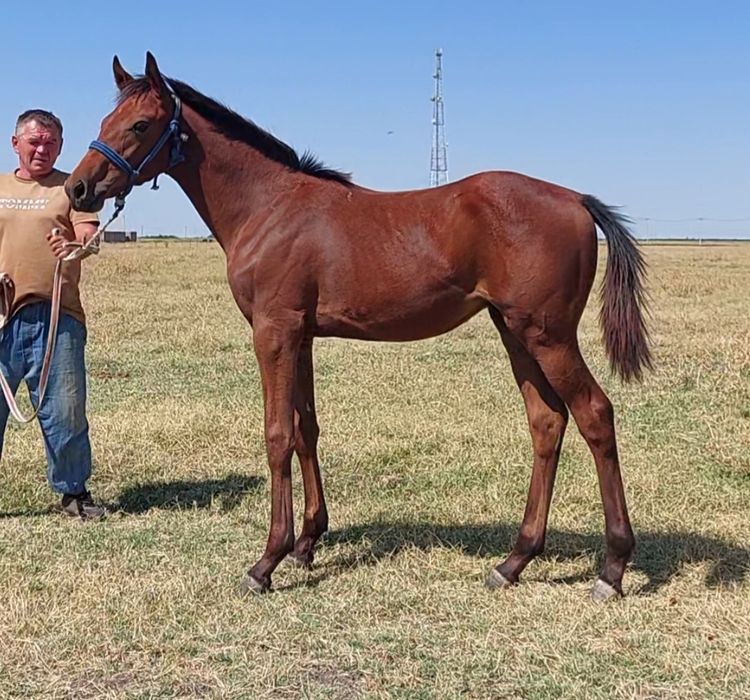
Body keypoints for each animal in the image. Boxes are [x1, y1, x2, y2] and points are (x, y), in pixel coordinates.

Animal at [66, 53, 650, 600]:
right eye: (107, 117)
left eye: (141, 125)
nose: (78, 189)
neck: (269, 207)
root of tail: (575, 199)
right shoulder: (300, 337)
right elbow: (306, 430)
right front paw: (307, 543)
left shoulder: (273, 333)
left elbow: (277, 434)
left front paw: (267, 561)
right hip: (516, 332)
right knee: (547, 422)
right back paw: (514, 561)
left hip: (548, 336)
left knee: (595, 415)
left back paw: (613, 568)